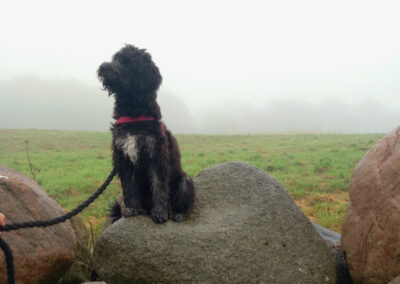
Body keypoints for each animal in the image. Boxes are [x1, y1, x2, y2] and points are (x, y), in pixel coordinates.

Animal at [98, 44, 195, 223]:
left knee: (180, 201)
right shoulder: (123, 157)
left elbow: (159, 185)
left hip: (184, 181)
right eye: (115, 58)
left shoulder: (156, 155)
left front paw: (160, 212)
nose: (102, 67)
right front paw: (132, 209)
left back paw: (177, 213)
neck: (133, 114)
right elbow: (129, 186)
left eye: (127, 62)